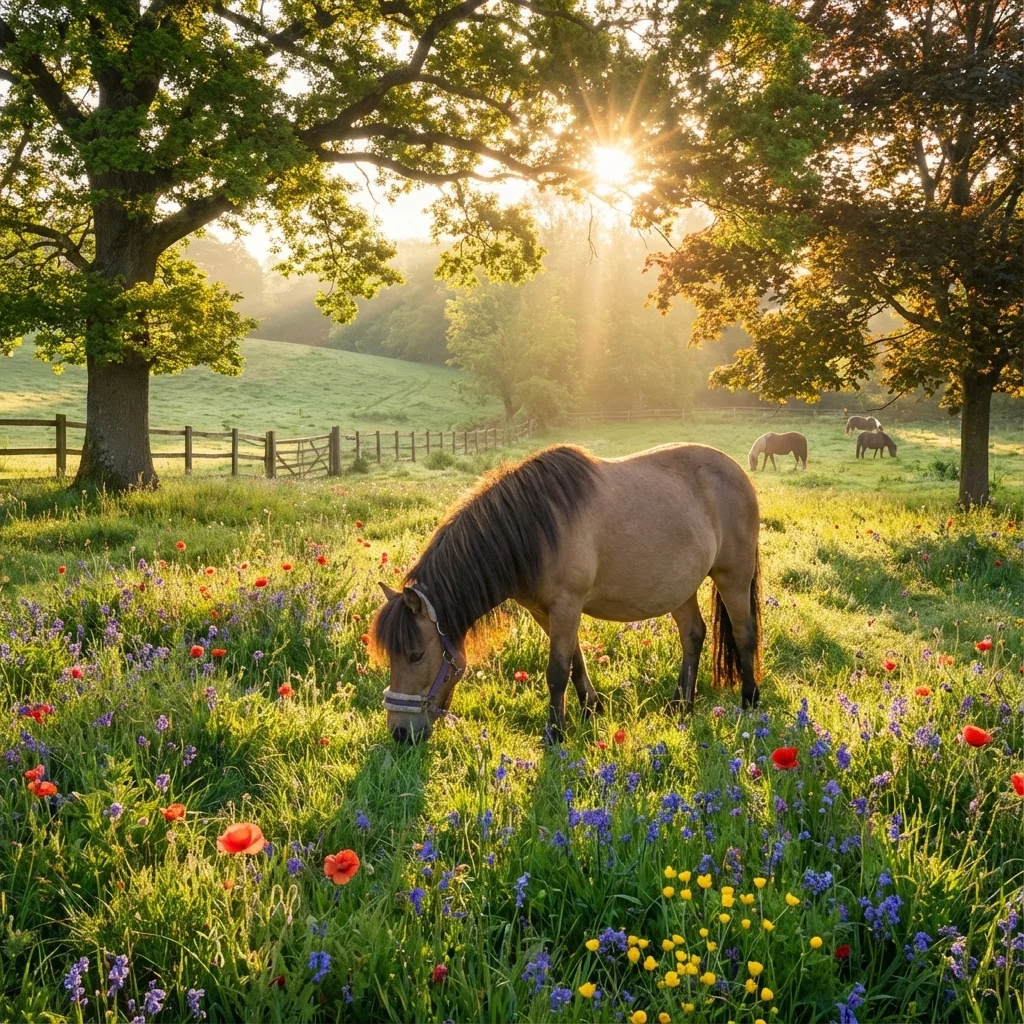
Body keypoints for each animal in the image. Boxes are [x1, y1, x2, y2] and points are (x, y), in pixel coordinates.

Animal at [371, 444, 762, 744]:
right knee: (693, 636)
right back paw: (682, 705)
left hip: (734, 577)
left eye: (416, 655)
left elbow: (557, 671)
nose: (400, 734)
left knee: (744, 634)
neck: (535, 527)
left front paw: (555, 733)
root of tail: (736, 470)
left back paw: (750, 701)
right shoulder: (545, 612)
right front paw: (592, 709)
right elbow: (576, 661)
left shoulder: (567, 606)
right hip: (681, 588)